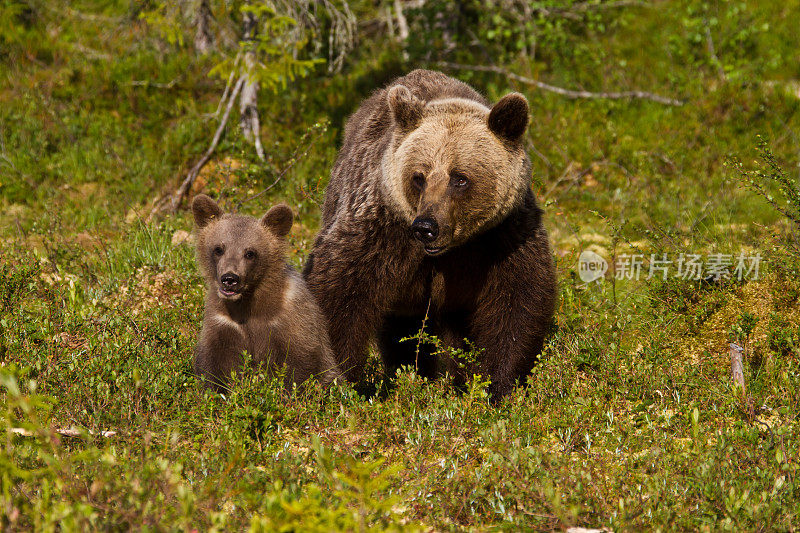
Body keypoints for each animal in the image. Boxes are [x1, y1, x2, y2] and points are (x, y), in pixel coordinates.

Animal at [304, 68, 552, 396]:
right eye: (418, 176)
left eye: (459, 178)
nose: (426, 227)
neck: (453, 250)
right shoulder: (380, 230)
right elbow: (338, 291)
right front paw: (336, 379)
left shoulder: (504, 236)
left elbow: (518, 300)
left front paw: (496, 383)